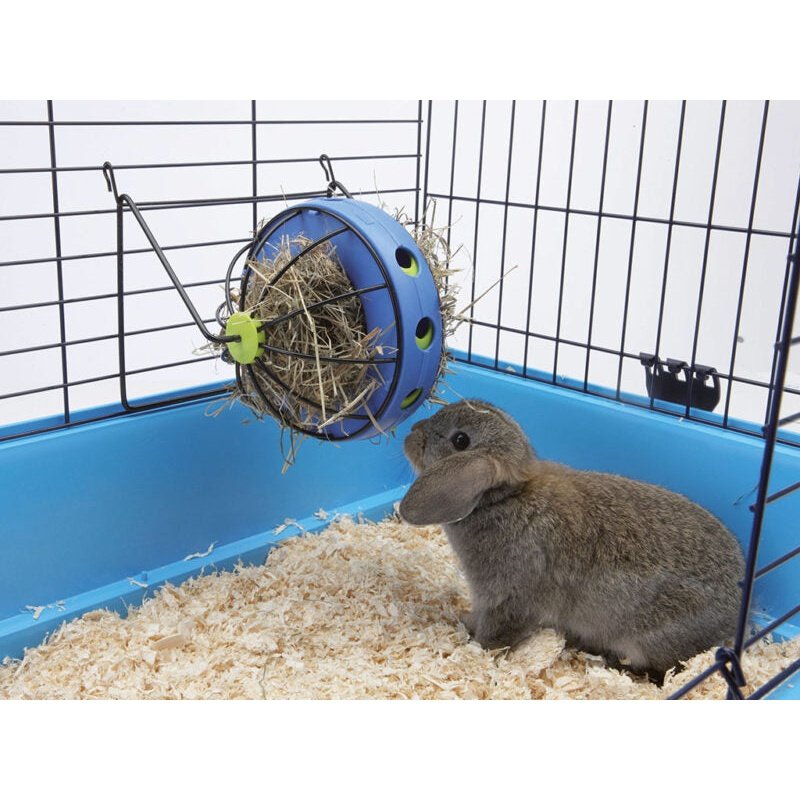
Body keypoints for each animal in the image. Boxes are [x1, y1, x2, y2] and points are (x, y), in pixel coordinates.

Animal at [398, 399, 745, 681]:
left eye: (461, 440)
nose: (412, 432)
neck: (504, 498)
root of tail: (735, 613)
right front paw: (464, 621)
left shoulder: (510, 600)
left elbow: (497, 634)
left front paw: (476, 646)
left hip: (650, 639)